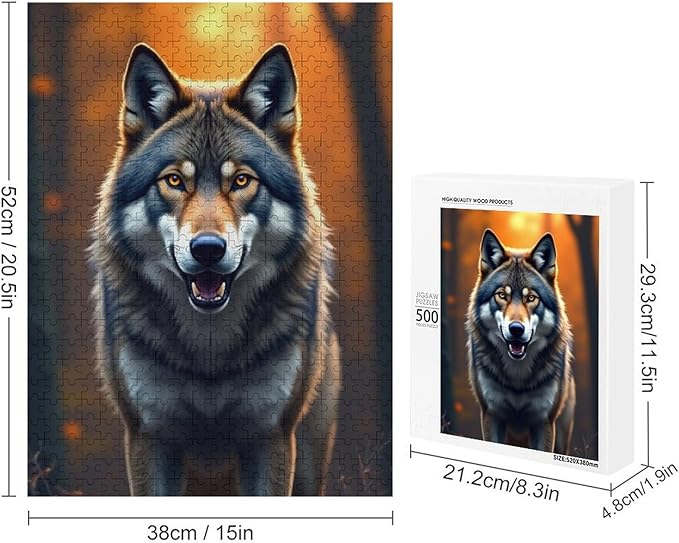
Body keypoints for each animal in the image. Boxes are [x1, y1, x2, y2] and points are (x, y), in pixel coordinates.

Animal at [90, 43, 341, 496]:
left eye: (241, 180)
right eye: (174, 180)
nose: (207, 249)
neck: (210, 353)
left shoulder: (271, 437)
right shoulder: (148, 437)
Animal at [466, 229, 575, 454]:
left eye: (531, 298)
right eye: (501, 295)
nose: (516, 329)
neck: (518, 378)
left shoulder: (544, 422)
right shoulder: (492, 415)